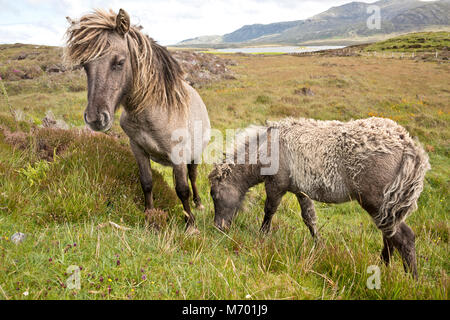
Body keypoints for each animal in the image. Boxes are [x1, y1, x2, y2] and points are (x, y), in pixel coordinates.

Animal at [65, 9, 211, 230]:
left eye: (119, 62)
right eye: (85, 65)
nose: (95, 119)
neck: (152, 112)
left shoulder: (178, 154)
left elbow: (182, 188)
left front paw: (190, 224)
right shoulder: (138, 148)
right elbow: (147, 181)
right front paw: (149, 214)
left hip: (195, 154)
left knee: (193, 177)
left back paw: (199, 203)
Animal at [209, 116, 430, 276]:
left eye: (214, 194)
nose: (218, 227)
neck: (268, 147)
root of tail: (409, 146)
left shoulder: (275, 186)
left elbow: (269, 211)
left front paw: (262, 235)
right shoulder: (300, 191)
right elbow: (309, 219)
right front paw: (319, 245)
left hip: (376, 204)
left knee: (404, 237)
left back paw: (411, 278)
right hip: (385, 209)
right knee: (389, 237)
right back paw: (383, 267)